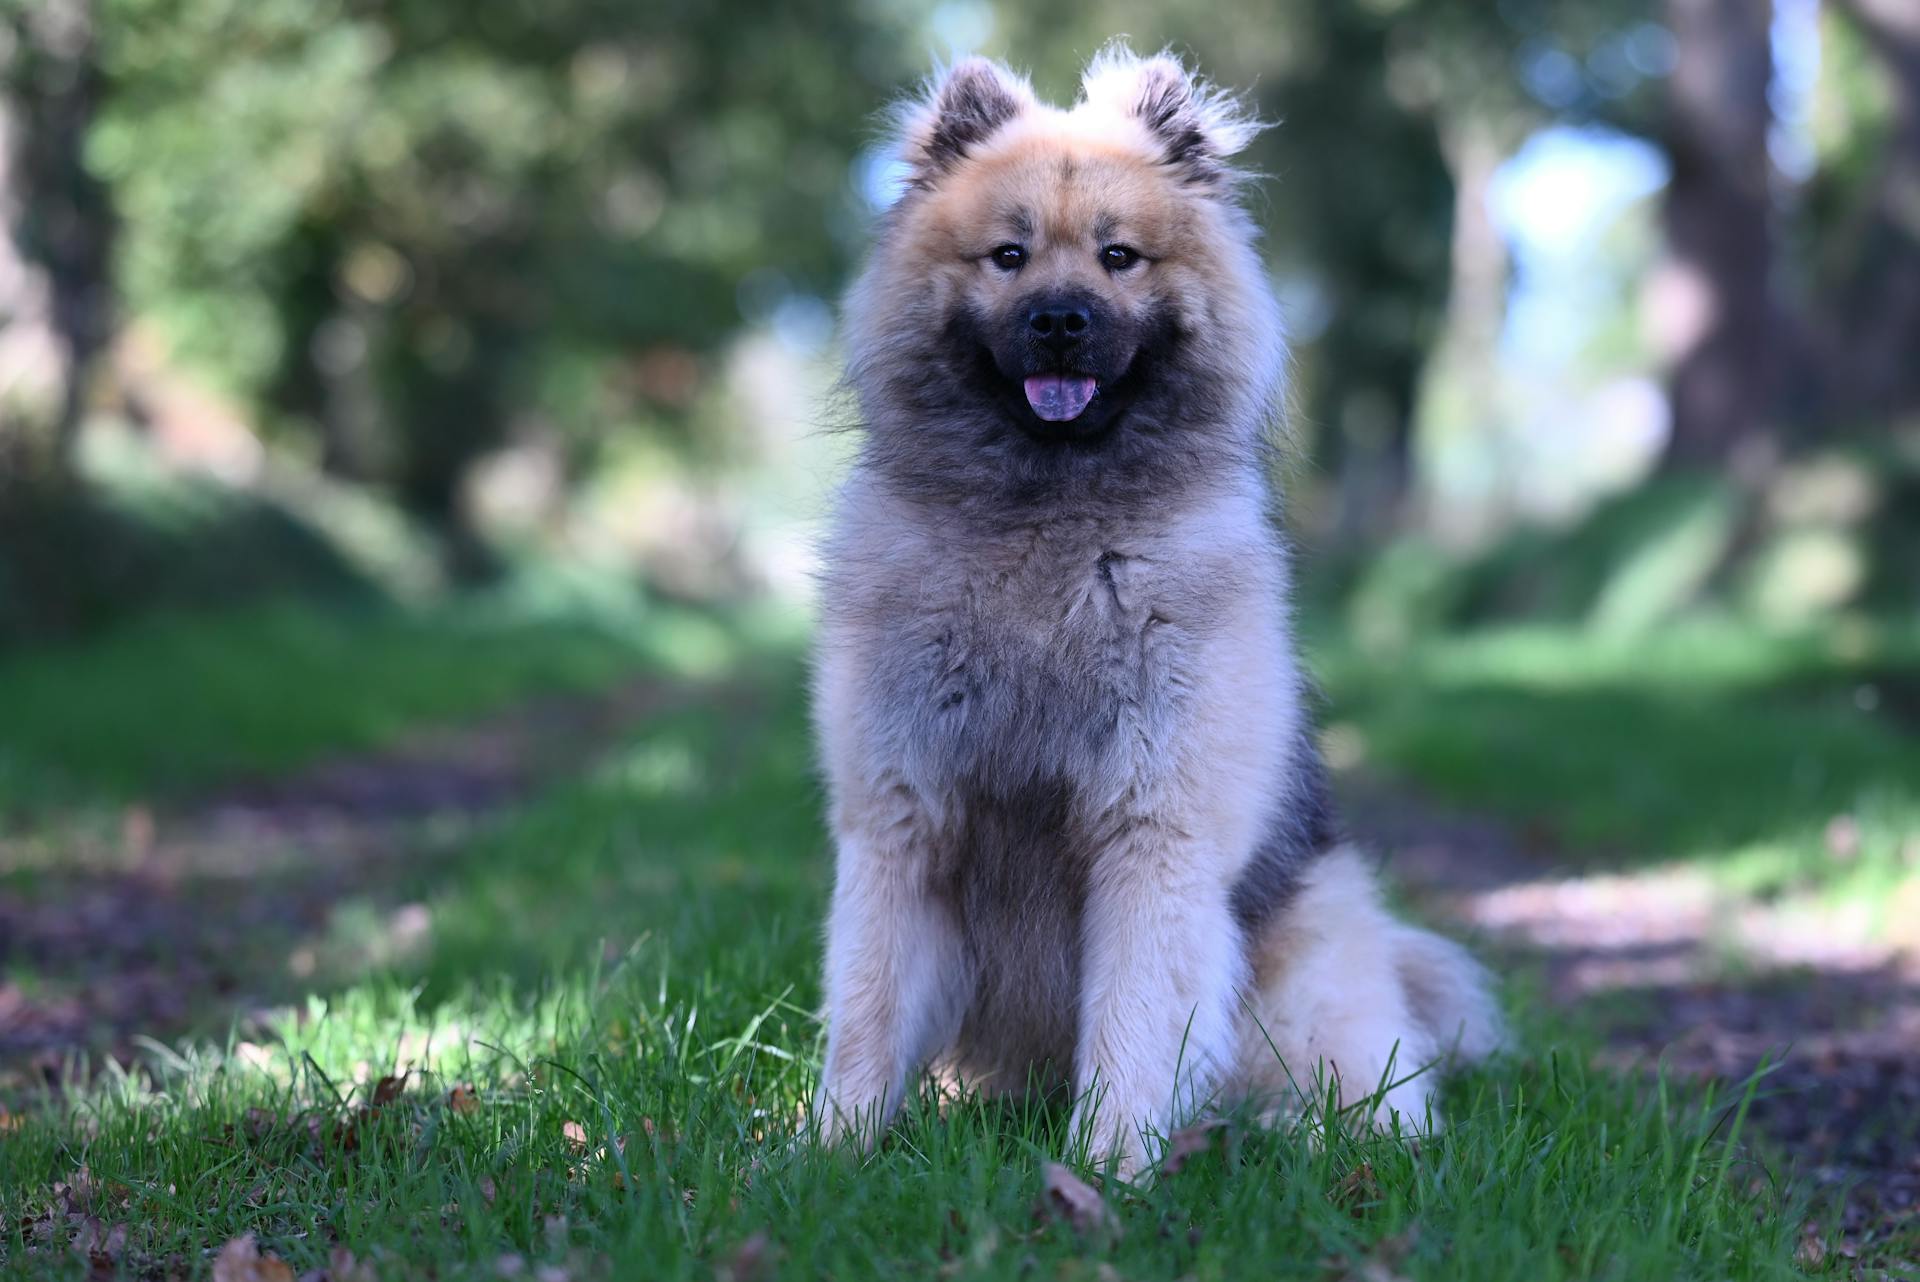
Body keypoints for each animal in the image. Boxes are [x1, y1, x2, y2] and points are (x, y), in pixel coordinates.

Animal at [810, 47, 1497, 1174]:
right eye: (1009, 256)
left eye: (1119, 257)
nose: (1060, 319)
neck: (1050, 530)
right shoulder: (902, 821)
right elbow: (866, 1011)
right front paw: (828, 1154)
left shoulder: (1152, 831)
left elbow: (1134, 1023)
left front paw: (1107, 1166)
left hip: (1306, 992)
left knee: (1352, 1090)